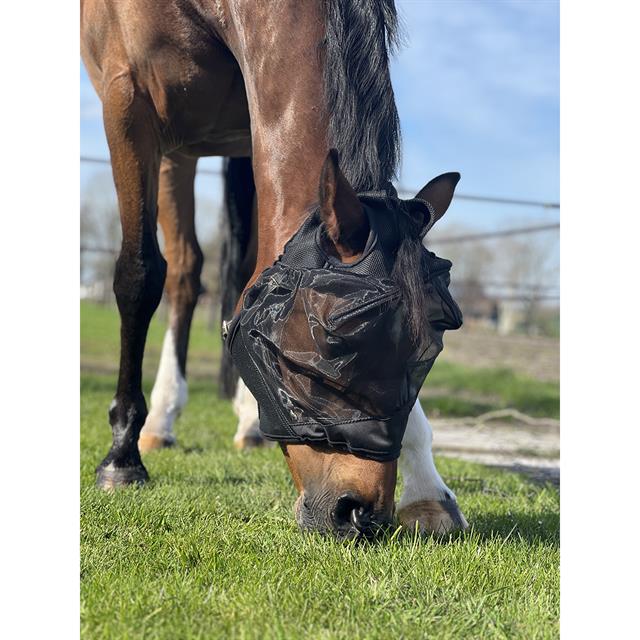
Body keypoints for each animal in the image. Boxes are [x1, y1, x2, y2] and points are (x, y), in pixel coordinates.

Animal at [82, 0, 468, 536]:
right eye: (328, 347)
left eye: (429, 345)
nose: (359, 514)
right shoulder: (129, 99)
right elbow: (139, 275)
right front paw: (121, 458)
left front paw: (428, 492)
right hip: (174, 150)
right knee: (181, 271)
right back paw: (158, 421)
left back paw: (245, 421)